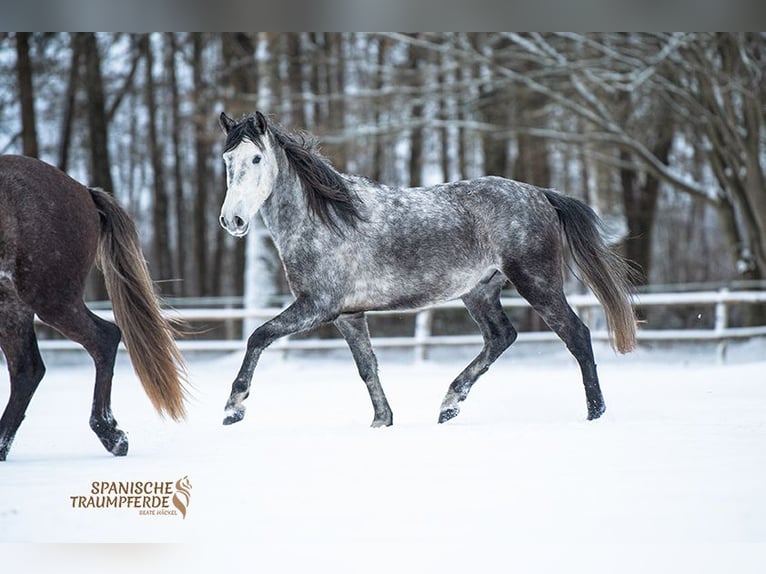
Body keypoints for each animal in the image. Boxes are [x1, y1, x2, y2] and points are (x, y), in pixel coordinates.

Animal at [0, 155, 187, 461]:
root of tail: (83, 190)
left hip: (51, 298)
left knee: (104, 338)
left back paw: (111, 435)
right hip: (13, 307)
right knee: (27, 369)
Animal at [217, 111, 636, 427]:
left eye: (256, 159)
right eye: (227, 161)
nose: (231, 220)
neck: (325, 219)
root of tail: (542, 195)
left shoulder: (318, 306)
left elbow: (258, 335)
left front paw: (234, 407)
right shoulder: (348, 315)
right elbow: (367, 367)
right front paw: (382, 421)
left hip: (537, 282)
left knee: (576, 335)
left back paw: (595, 414)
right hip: (480, 291)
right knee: (502, 336)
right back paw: (449, 404)